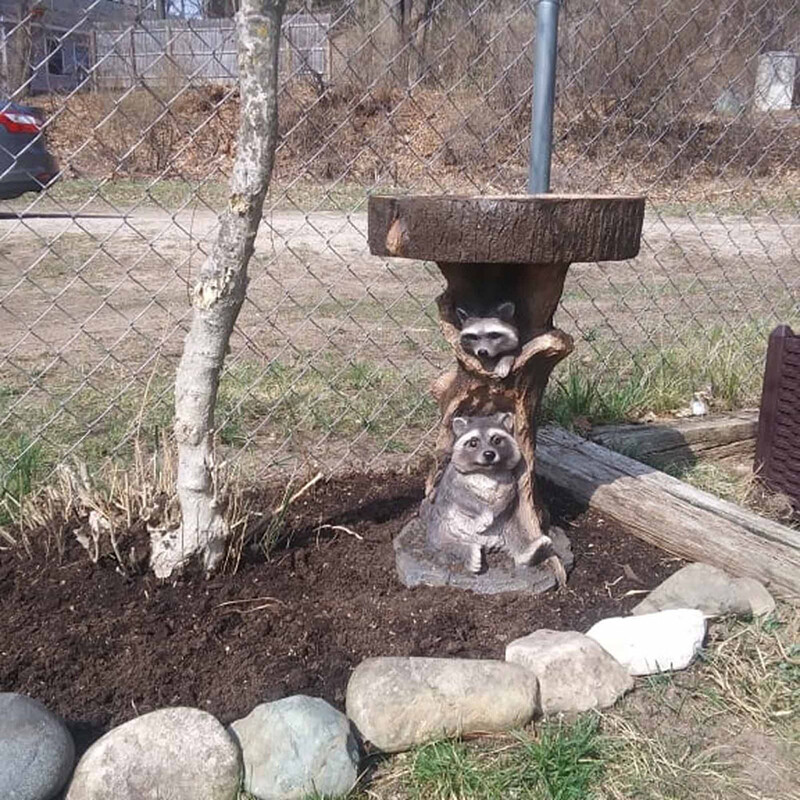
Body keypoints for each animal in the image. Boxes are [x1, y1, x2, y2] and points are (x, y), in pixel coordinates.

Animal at [422, 412, 521, 573]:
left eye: (497, 440)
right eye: (473, 443)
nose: (489, 454)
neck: (487, 471)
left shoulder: (509, 480)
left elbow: (507, 498)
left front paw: (495, 510)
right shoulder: (453, 480)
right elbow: (464, 499)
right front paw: (484, 513)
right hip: (440, 527)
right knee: (443, 543)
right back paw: (468, 551)